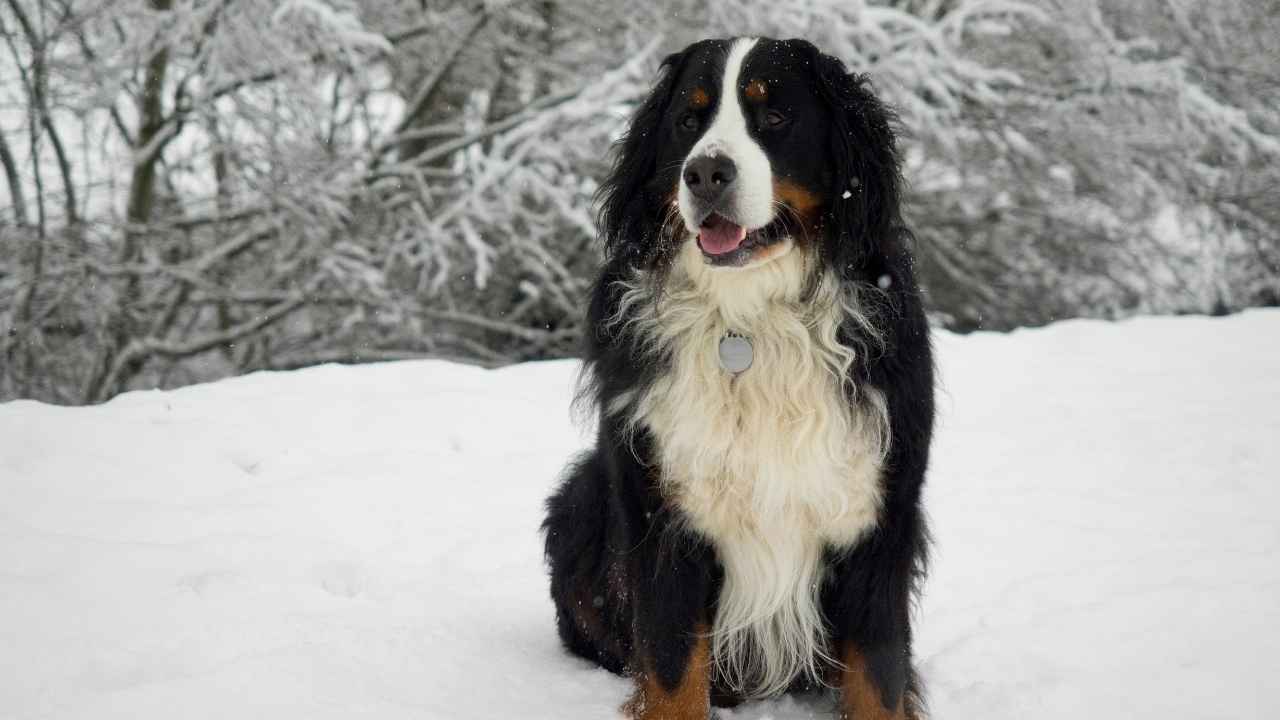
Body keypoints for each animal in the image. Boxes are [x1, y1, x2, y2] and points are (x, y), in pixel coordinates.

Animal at [545, 37, 936, 717]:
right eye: (688, 121)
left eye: (773, 117)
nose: (704, 173)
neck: (750, 323)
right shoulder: (663, 515)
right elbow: (671, 671)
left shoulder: (880, 516)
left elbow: (879, 680)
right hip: (583, 495)